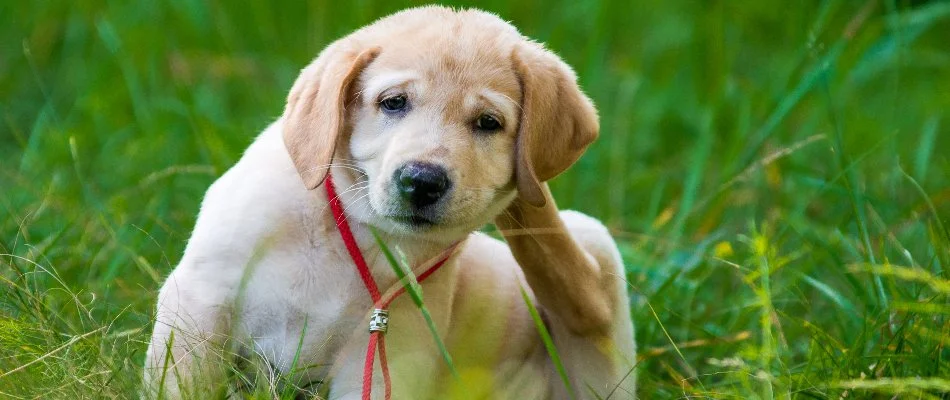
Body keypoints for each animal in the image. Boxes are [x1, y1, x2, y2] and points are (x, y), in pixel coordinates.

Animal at [145, 6, 640, 400]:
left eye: (488, 123)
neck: (352, 230)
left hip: (592, 263)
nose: (422, 181)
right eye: (394, 103)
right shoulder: (202, 300)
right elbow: (184, 382)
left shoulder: (389, 351)